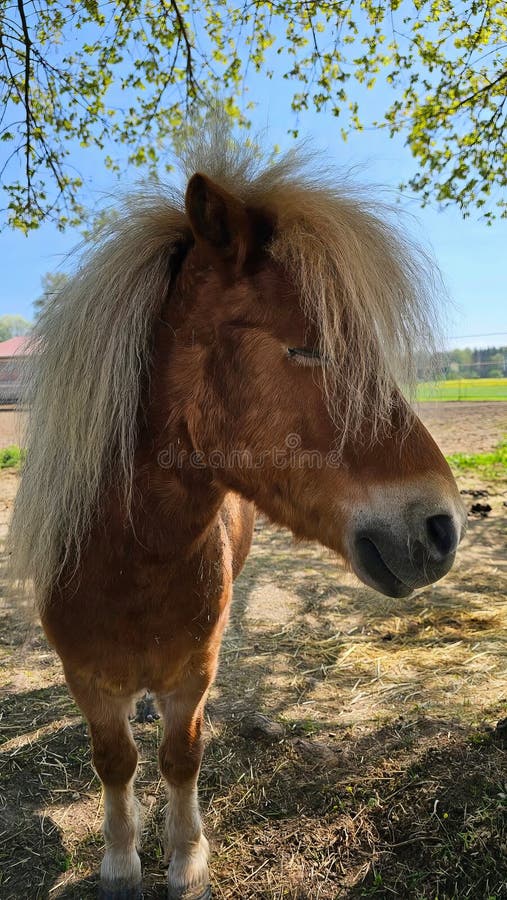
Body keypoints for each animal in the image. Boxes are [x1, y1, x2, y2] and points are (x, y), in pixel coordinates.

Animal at [8, 128, 468, 900]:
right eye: (306, 346)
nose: (443, 527)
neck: (129, 561)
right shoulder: (87, 678)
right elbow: (114, 762)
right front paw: (120, 861)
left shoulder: (194, 671)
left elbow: (179, 757)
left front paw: (186, 858)